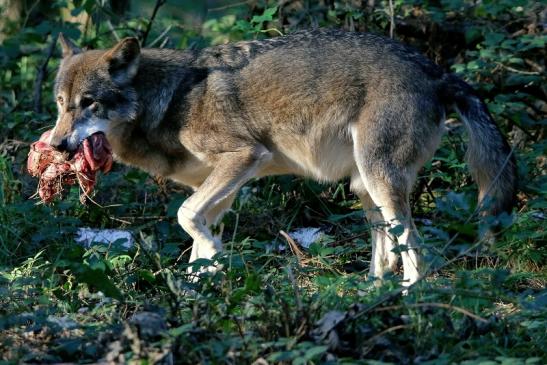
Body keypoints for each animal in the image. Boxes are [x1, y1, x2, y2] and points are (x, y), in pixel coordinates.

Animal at [48, 29, 520, 284]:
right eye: (61, 103)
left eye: (89, 103)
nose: (56, 145)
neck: (167, 99)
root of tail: (435, 70)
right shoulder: (220, 187)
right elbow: (196, 237)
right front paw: (200, 294)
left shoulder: (243, 156)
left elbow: (186, 218)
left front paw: (210, 263)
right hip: (363, 186)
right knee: (386, 250)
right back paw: (369, 291)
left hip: (379, 179)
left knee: (415, 249)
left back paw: (407, 299)